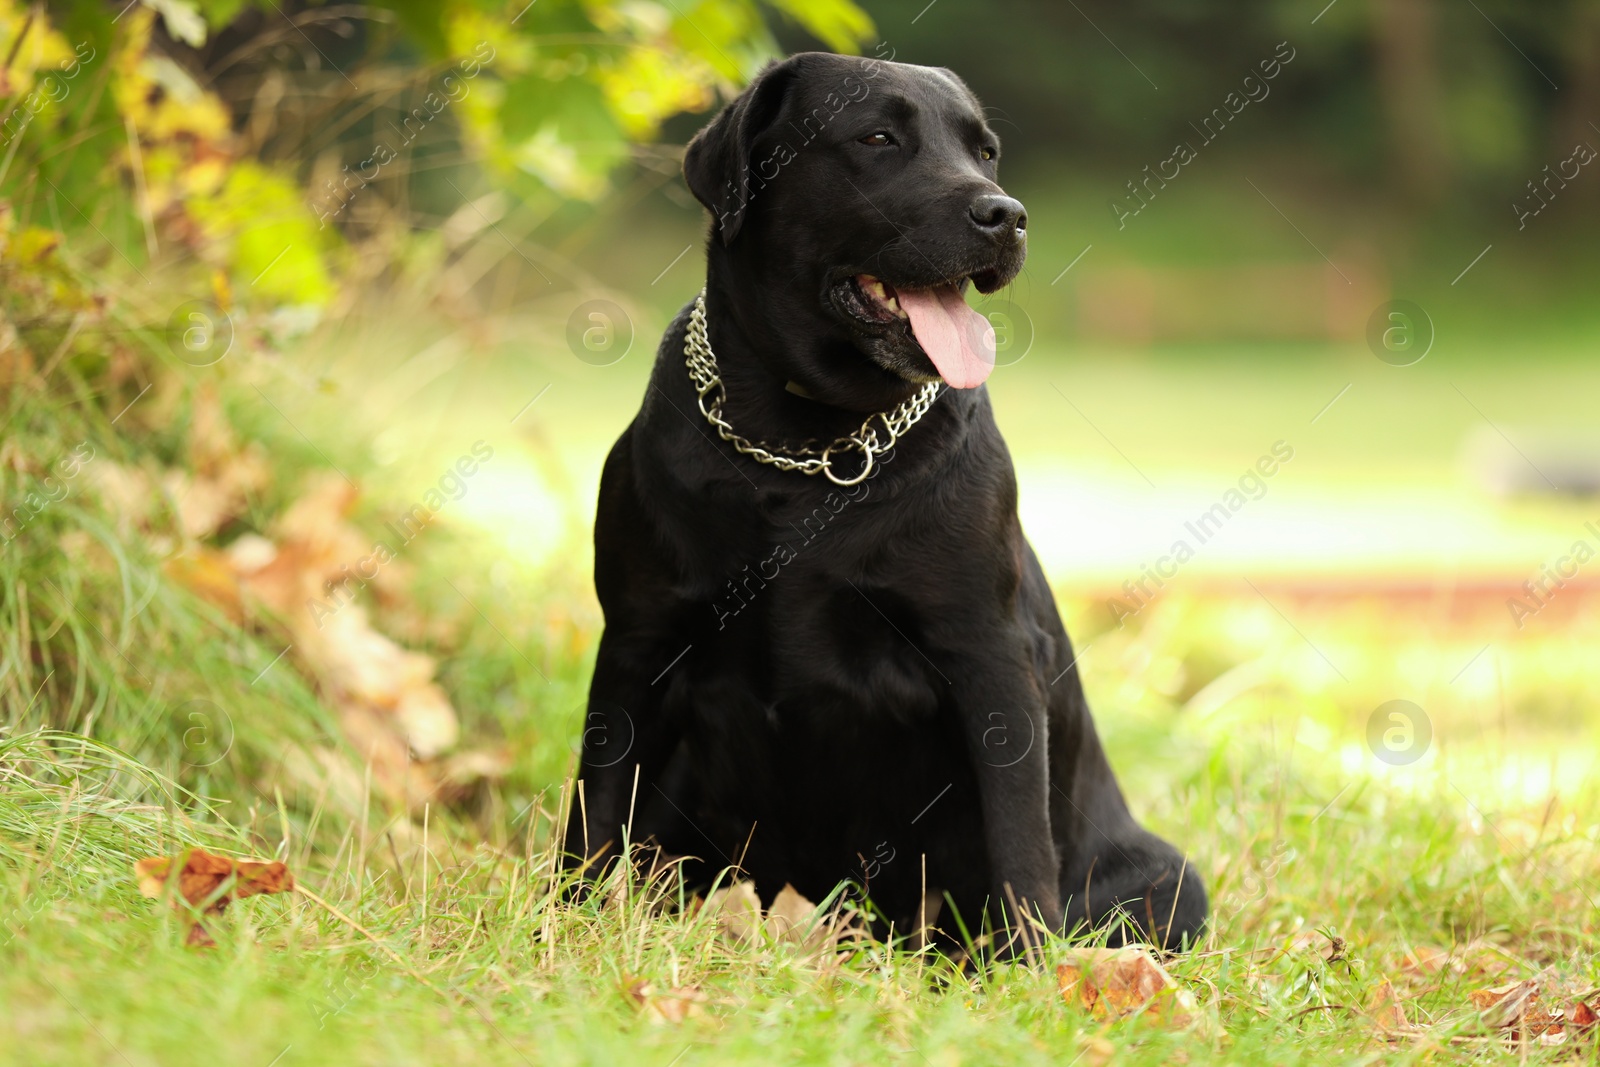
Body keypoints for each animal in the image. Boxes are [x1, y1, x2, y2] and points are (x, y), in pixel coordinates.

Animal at [569, 49, 1203, 953]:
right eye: (876, 138)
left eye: (986, 151)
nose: (1006, 216)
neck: (805, 447)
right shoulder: (637, 638)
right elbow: (593, 811)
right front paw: (562, 928)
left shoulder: (989, 655)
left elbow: (1020, 843)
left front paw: (1030, 966)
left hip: (1171, 879)